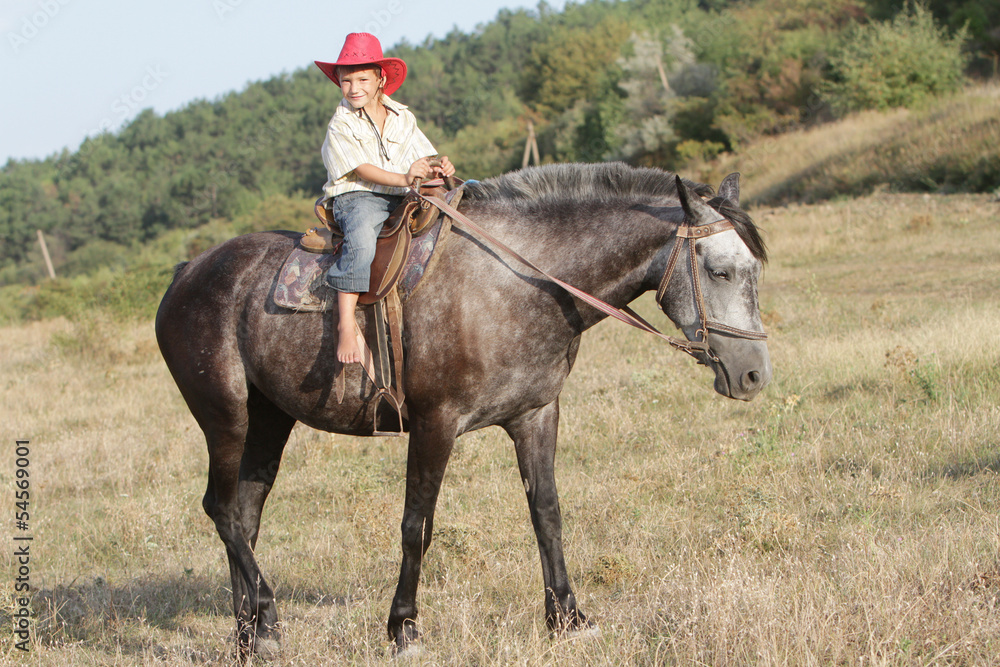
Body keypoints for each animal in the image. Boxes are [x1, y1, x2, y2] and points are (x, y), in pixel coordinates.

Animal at [154, 162, 771, 656]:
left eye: (754, 271)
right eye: (718, 270)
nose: (753, 375)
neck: (520, 280)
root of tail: (186, 272)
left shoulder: (536, 415)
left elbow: (547, 514)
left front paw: (568, 618)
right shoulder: (436, 424)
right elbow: (416, 526)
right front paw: (403, 629)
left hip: (269, 419)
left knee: (245, 514)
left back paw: (249, 635)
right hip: (225, 417)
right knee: (223, 510)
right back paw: (267, 617)